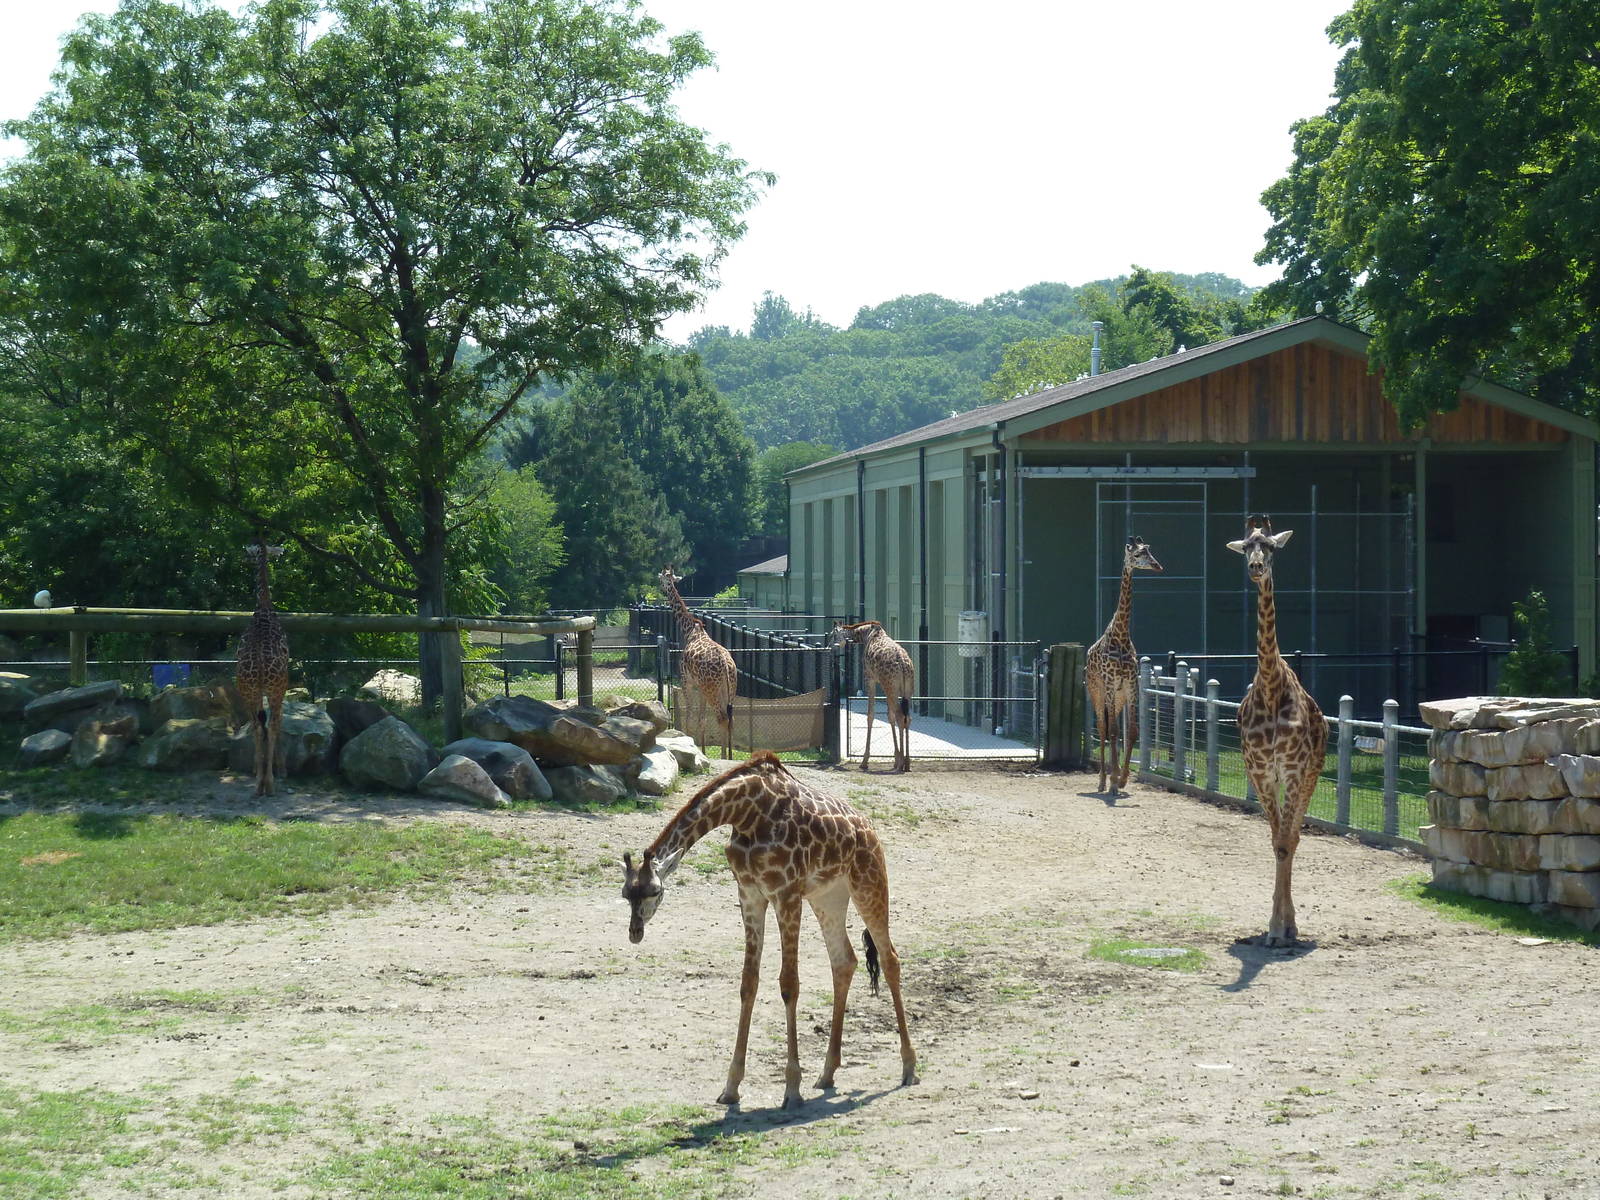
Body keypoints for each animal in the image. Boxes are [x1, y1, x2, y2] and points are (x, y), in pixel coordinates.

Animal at [621, 751, 917, 1109]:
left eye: (654, 891)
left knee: (889, 959)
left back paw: (909, 1067)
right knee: (844, 961)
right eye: (626, 894)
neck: (747, 814)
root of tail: (870, 828)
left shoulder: (786, 892)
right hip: (828, 896)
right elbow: (748, 982)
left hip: (868, 882)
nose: (635, 931)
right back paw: (827, 1073)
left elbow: (789, 984)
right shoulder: (750, 893)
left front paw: (791, 1089)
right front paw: (731, 1087)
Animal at [659, 565, 738, 759]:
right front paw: (701, 751)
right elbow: (702, 720)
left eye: (661, 579)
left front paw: (687, 745)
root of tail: (726, 665)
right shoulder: (701, 687)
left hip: (712, 688)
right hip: (727, 688)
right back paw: (729, 756)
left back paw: (724, 757)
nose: (661, 588)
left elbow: (689, 718)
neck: (689, 629)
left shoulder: (687, 681)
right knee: (730, 718)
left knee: (722, 717)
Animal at [831, 620, 914, 773]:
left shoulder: (870, 678)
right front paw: (895, 758)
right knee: (907, 718)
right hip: (907, 690)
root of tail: (904, 665)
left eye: (833, 635)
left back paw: (901, 764)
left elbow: (870, 715)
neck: (865, 634)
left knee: (900, 716)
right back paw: (907, 763)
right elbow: (889, 716)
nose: (830, 648)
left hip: (890, 686)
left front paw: (865, 761)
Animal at [1085, 536, 1163, 794]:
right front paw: (1113, 779)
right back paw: (1102, 780)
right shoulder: (1110, 683)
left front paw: (1123, 778)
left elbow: (1131, 732)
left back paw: (1113, 776)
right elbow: (1111, 731)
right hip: (1097, 692)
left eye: (1149, 551)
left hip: (1117, 698)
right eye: (1137, 554)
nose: (1158, 566)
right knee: (1103, 727)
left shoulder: (1130, 684)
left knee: (1114, 729)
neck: (1121, 635)